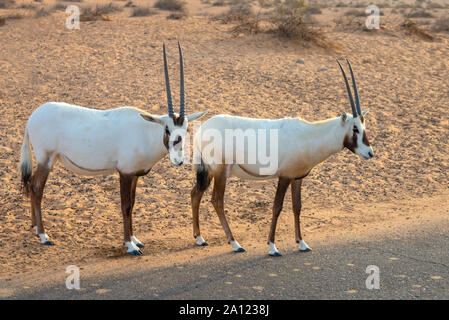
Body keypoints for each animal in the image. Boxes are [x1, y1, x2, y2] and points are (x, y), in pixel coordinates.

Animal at [18, 42, 206, 255]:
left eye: (186, 128)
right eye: (167, 128)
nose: (179, 160)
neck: (145, 131)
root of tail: (32, 118)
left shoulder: (134, 174)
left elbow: (133, 203)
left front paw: (135, 239)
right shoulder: (124, 172)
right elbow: (126, 206)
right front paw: (130, 246)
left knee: (31, 185)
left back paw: (35, 228)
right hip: (46, 159)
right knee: (36, 188)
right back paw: (43, 236)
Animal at [191, 59, 372, 255]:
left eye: (364, 127)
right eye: (355, 128)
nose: (370, 152)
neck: (308, 135)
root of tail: (202, 129)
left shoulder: (297, 177)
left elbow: (297, 207)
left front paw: (302, 243)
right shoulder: (284, 176)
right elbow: (277, 207)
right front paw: (272, 246)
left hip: (209, 171)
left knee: (195, 193)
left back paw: (200, 238)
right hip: (220, 171)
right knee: (217, 201)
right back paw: (235, 244)